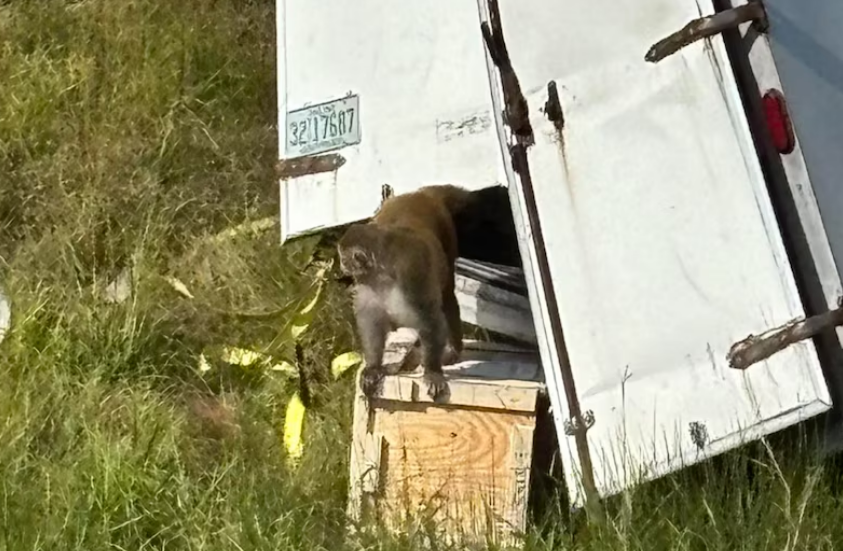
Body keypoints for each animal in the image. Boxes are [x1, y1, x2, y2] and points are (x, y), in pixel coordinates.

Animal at [337, 185, 469, 401]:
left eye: (343, 258)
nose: (341, 265)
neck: (382, 274)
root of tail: (419, 194)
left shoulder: (412, 276)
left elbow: (430, 320)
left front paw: (432, 372)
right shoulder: (367, 285)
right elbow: (371, 322)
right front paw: (373, 367)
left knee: (447, 295)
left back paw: (453, 348)